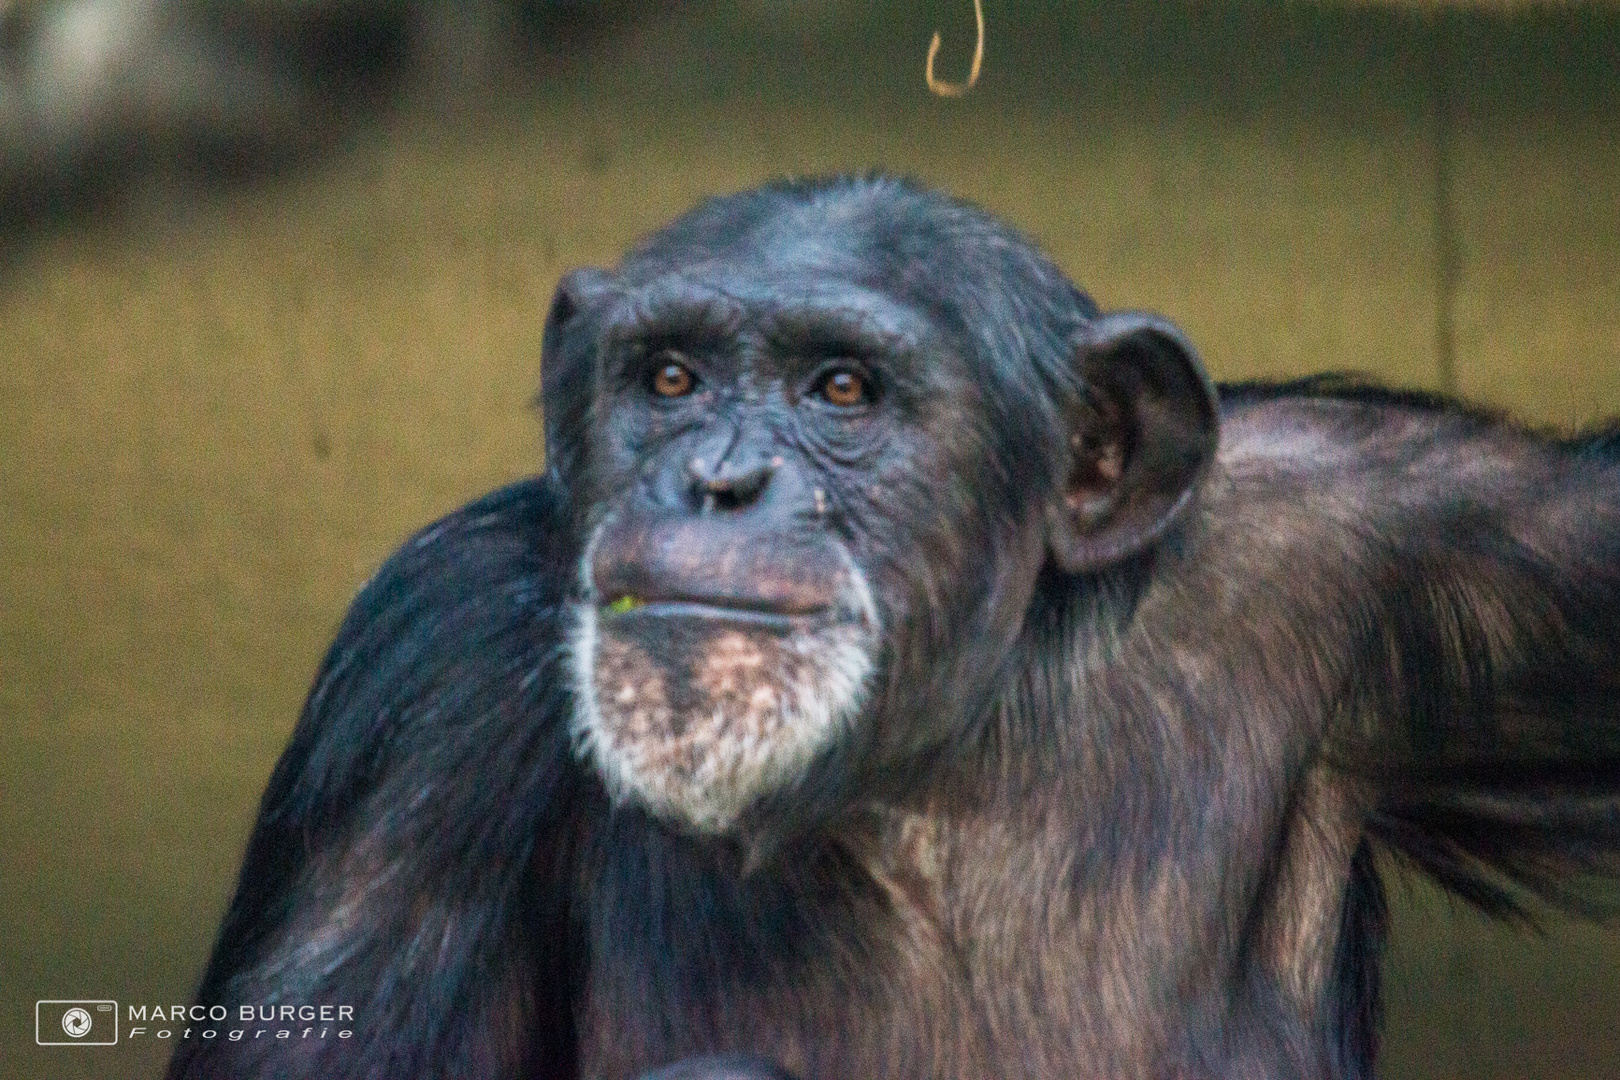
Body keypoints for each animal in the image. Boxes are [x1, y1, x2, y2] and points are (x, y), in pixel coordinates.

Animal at [164, 177, 1620, 1080]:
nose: (720, 480)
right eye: (670, 378)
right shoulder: (428, 685)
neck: (927, 756)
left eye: (843, 389)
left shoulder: (1400, 535)